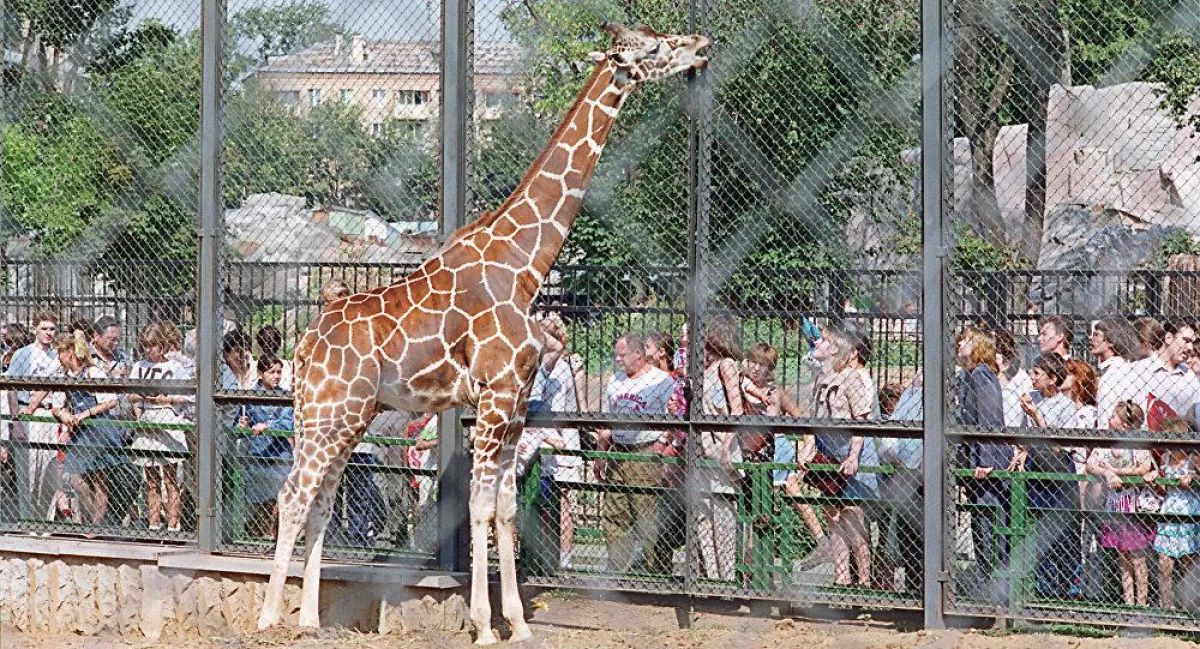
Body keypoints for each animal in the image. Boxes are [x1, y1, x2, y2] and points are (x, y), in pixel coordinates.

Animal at [255, 22, 700, 643]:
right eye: (654, 47)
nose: (701, 46)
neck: (524, 265)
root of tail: (304, 345)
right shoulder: (493, 397)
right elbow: (481, 508)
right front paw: (486, 625)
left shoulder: (516, 404)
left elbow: (507, 508)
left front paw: (519, 623)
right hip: (329, 412)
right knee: (293, 494)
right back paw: (271, 615)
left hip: (348, 416)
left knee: (320, 500)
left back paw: (312, 620)